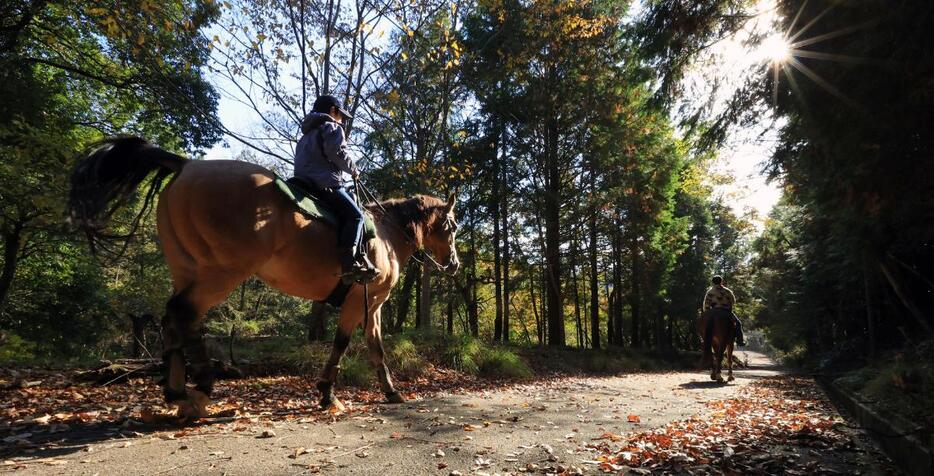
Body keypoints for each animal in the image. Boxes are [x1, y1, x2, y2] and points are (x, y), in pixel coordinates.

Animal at [66, 136, 460, 418]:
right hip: (221, 273)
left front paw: (390, 391)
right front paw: (327, 394)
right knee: (184, 314)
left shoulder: (372, 305)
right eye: (453, 226)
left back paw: (178, 393)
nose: (454, 264)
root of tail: (188, 166)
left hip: (187, 270)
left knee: (173, 320)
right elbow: (342, 344)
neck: (387, 236)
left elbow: (375, 346)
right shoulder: (358, 302)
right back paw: (199, 388)